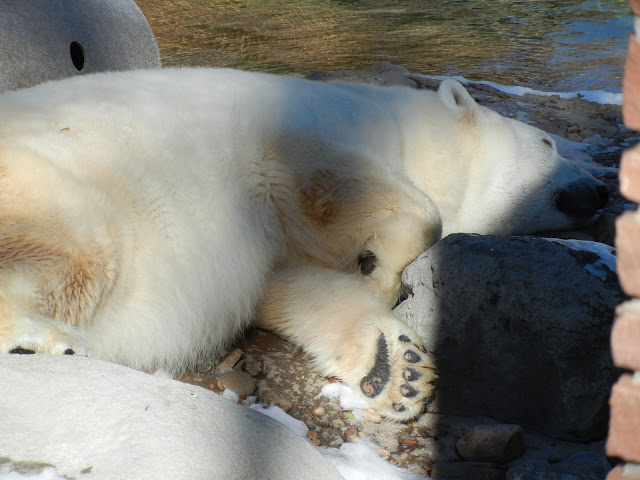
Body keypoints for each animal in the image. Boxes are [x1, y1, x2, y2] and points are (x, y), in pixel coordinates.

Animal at [0, 67, 604, 420]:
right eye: (548, 142)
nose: (598, 188)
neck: (405, 129)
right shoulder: (302, 131)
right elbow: (325, 179)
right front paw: (380, 270)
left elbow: (290, 285)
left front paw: (399, 371)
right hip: (59, 184)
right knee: (75, 254)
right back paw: (45, 340)